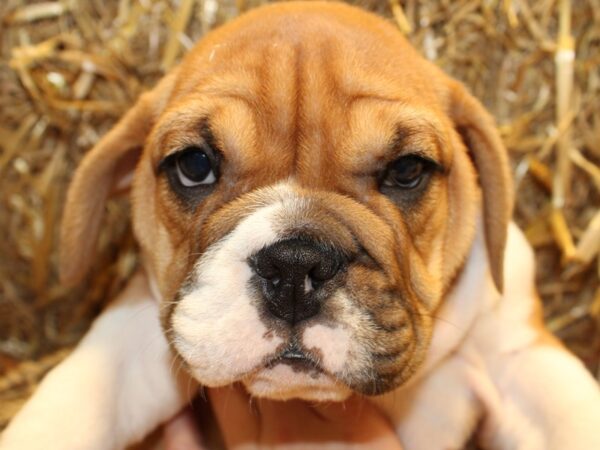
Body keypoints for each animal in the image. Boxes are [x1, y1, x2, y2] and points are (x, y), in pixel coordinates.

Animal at [1, 1, 600, 448]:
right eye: (194, 164)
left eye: (407, 170)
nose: (293, 266)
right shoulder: (129, 337)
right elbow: (70, 406)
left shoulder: (520, 357)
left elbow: (574, 415)